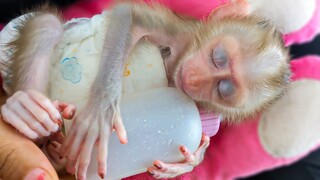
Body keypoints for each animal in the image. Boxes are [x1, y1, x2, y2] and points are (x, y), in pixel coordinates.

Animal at [0, 0, 290, 179]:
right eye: (218, 58)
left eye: (223, 89)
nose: (195, 80)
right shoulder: (183, 31)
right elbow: (128, 15)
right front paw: (101, 109)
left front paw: (187, 162)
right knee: (46, 26)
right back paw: (23, 110)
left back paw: (52, 151)